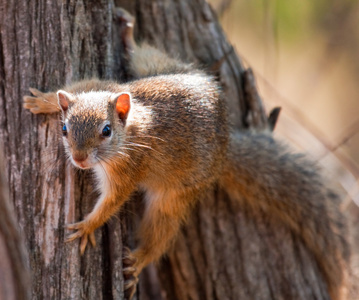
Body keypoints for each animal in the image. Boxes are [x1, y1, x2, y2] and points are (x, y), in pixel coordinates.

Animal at [22, 7, 348, 300]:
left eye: (106, 131)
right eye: (64, 128)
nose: (78, 159)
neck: (132, 128)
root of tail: (224, 145)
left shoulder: (127, 170)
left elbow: (112, 201)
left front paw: (88, 225)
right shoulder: (100, 85)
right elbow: (79, 85)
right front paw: (44, 101)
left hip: (175, 195)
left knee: (161, 231)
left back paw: (138, 261)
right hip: (158, 65)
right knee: (144, 53)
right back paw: (127, 32)